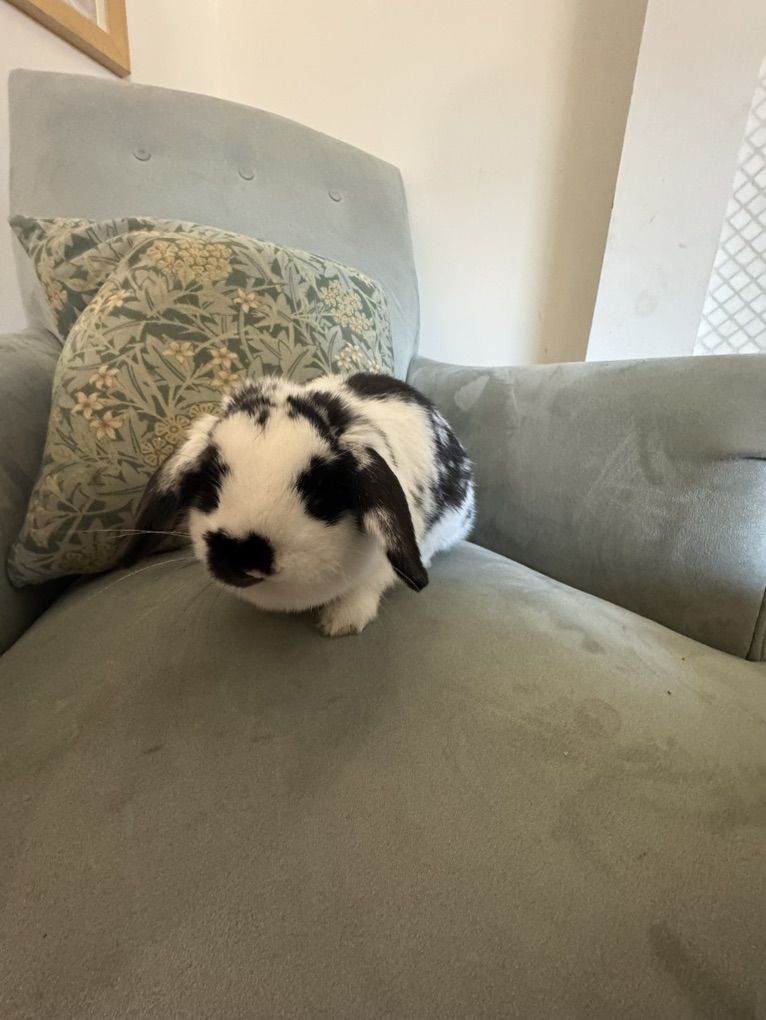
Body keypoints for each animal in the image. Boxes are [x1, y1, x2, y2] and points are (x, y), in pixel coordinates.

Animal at [122, 372, 475, 636]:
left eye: (319, 494)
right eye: (209, 488)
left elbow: (368, 586)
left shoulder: (385, 565)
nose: (242, 556)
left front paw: (340, 623)